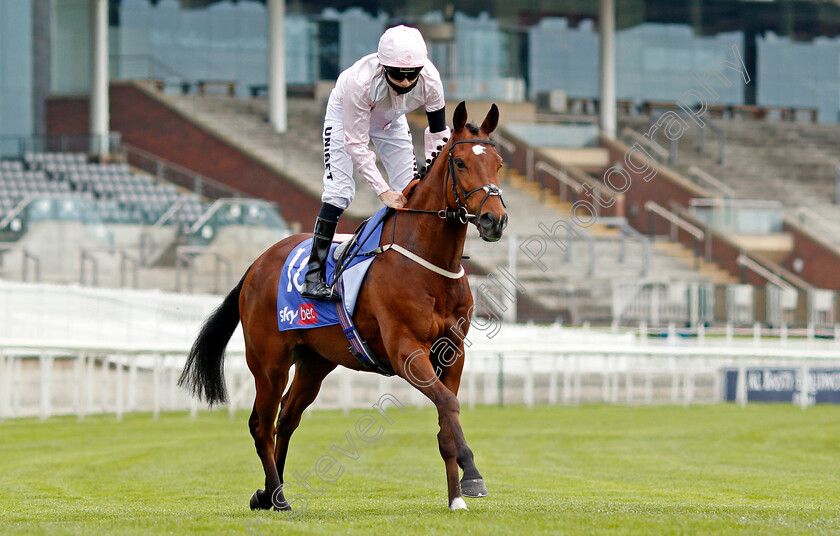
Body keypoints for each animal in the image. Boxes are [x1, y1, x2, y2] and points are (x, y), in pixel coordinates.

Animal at [180, 100, 508, 510]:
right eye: (461, 163)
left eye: (498, 163)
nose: (495, 219)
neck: (427, 262)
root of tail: (256, 264)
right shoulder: (405, 350)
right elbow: (449, 404)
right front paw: (473, 473)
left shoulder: (453, 352)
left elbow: (446, 418)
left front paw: (456, 496)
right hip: (269, 362)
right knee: (262, 424)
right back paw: (277, 497)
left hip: (314, 362)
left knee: (286, 419)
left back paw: (270, 492)